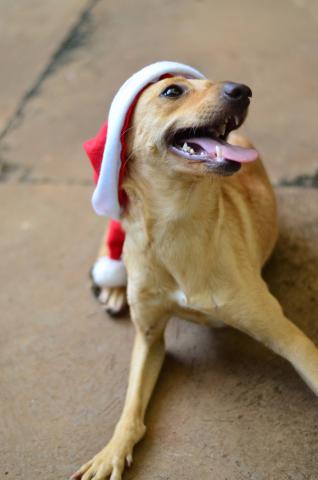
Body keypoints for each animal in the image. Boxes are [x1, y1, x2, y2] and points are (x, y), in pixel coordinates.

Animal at [72, 68, 318, 480]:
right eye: (172, 90)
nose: (243, 91)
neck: (179, 223)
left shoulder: (288, 336)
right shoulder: (149, 337)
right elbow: (130, 411)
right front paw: (111, 451)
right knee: (113, 236)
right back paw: (115, 288)